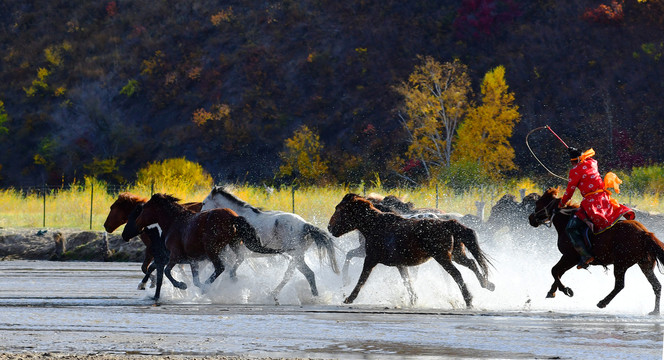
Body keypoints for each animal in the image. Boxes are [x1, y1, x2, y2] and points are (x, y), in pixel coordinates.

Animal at [120, 194, 282, 298]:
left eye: (142, 210)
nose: (125, 234)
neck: (173, 222)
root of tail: (232, 217)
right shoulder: (193, 260)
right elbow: (194, 280)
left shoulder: (175, 256)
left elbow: (167, 271)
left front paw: (182, 285)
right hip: (234, 244)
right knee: (238, 259)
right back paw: (232, 277)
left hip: (213, 250)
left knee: (220, 267)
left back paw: (208, 286)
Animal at [201, 187, 338, 302]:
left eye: (203, 203)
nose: (201, 216)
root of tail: (306, 225)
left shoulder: (237, 255)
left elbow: (227, 272)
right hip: (297, 257)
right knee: (307, 274)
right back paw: (314, 297)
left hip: (296, 256)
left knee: (292, 275)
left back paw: (273, 294)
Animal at [326, 193, 492, 308]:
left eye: (339, 209)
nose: (329, 227)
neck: (376, 226)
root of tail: (447, 223)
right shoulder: (400, 264)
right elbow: (407, 282)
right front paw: (413, 300)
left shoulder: (370, 259)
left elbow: (362, 279)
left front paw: (349, 298)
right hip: (457, 254)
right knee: (471, 263)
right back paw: (488, 284)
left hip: (443, 258)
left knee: (457, 274)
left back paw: (469, 300)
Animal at [528, 187, 664, 314]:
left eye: (538, 203)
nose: (530, 218)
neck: (565, 222)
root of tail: (644, 233)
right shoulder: (569, 259)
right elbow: (558, 272)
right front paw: (552, 291)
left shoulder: (570, 257)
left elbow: (554, 270)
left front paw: (566, 290)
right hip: (645, 264)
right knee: (656, 285)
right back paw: (655, 311)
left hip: (621, 264)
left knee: (620, 285)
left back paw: (602, 302)